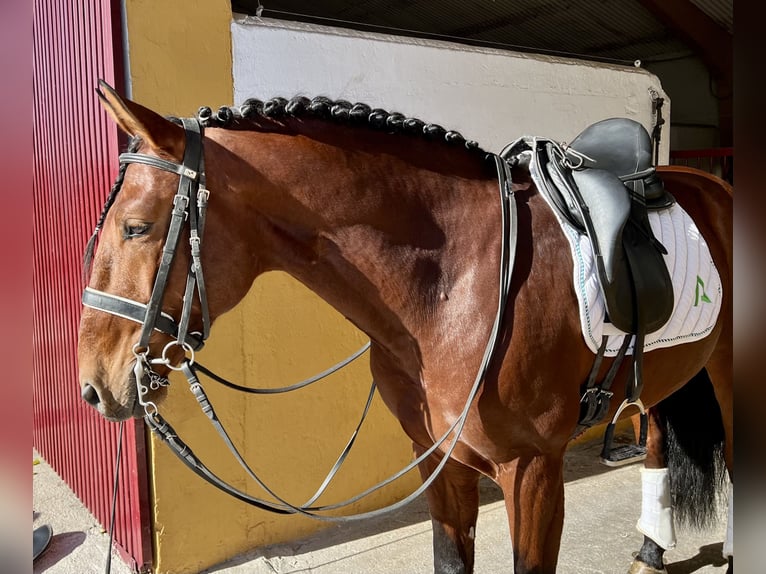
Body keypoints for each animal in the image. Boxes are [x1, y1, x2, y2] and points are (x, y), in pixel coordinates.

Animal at [79, 82, 736, 574]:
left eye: (136, 227)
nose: (93, 385)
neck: (456, 281)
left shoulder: (532, 470)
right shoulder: (436, 459)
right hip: (660, 379)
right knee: (657, 444)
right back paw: (651, 553)